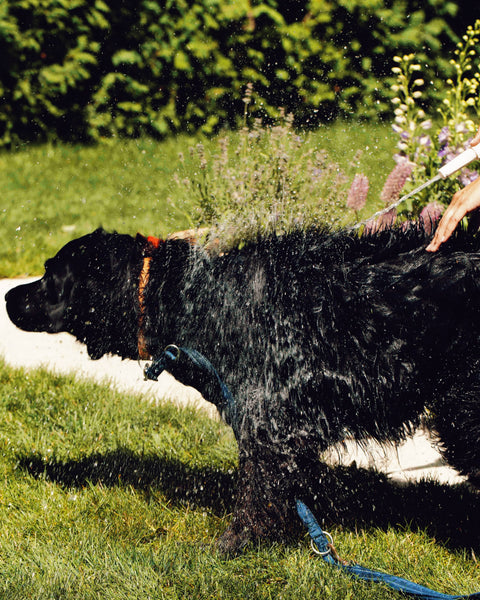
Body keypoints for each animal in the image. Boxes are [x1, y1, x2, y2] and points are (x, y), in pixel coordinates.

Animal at [5, 226, 480, 552]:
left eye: (48, 275)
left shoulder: (269, 421)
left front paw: (233, 545)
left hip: (464, 408)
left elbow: (255, 493)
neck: (189, 298)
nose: (8, 297)